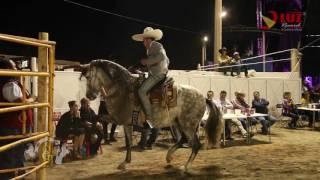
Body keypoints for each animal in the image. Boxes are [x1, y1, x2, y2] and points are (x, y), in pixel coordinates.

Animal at [78, 59, 222, 172]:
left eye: (88, 77)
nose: (89, 96)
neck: (121, 90)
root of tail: (203, 97)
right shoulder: (126, 122)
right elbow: (128, 142)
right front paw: (125, 162)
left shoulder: (118, 119)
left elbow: (100, 119)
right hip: (180, 123)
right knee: (184, 140)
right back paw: (169, 156)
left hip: (188, 125)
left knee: (195, 144)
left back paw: (186, 167)